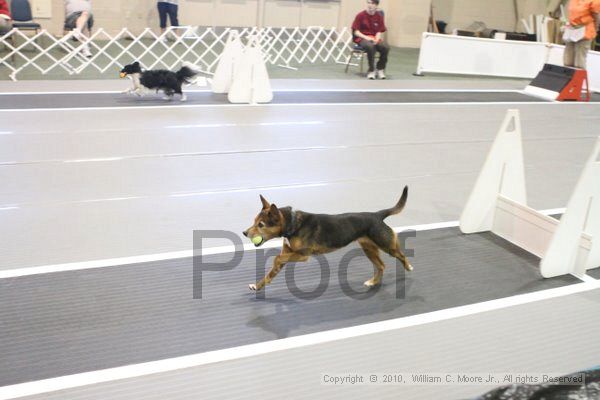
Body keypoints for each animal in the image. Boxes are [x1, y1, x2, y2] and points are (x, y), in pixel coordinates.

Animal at [244, 186, 412, 292]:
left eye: (261, 225)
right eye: (254, 221)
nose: (244, 233)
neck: (292, 223)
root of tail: (377, 215)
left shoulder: (302, 255)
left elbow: (277, 259)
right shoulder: (289, 254)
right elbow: (270, 273)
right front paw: (258, 286)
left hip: (386, 245)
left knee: (401, 255)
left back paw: (408, 267)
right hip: (368, 249)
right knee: (381, 266)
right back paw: (373, 282)